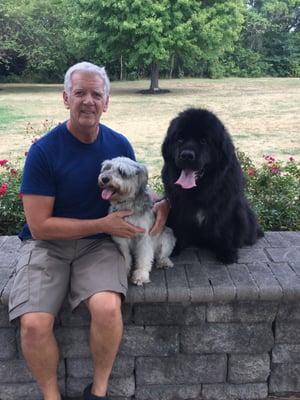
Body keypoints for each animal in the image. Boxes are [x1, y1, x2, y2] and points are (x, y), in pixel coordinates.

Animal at [98, 156, 176, 284]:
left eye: (122, 171)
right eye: (107, 168)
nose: (104, 179)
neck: (127, 205)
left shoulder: (144, 237)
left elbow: (144, 257)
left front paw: (141, 275)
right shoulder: (121, 238)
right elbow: (125, 257)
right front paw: (124, 271)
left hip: (167, 236)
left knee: (161, 255)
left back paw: (164, 262)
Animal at [162, 108, 262, 264]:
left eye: (204, 140)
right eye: (180, 139)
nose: (186, 155)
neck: (201, 189)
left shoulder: (226, 207)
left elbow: (224, 228)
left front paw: (226, 251)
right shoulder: (177, 206)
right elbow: (179, 228)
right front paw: (175, 247)